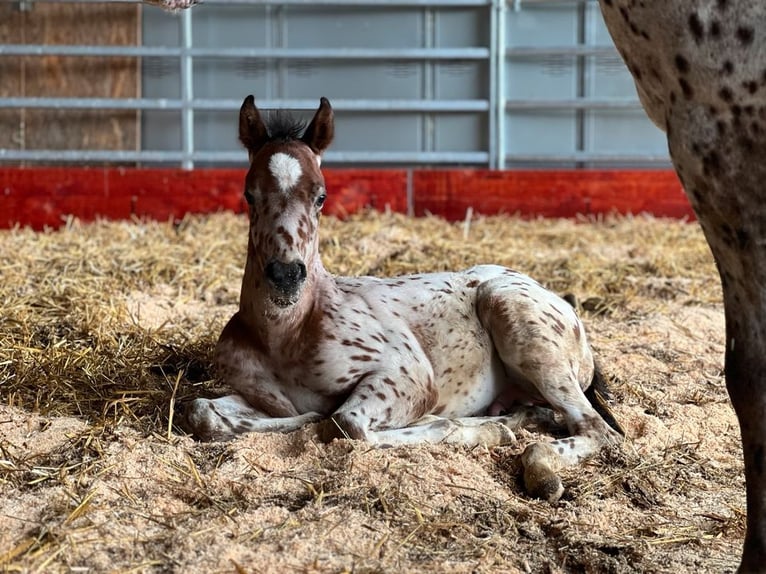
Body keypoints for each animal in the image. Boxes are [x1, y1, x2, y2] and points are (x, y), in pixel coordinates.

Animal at [180, 95, 624, 504]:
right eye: (249, 194)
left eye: (321, 196)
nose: (285, 276)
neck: (287, 336)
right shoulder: (263, 399)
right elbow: (202, 412)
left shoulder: (406, 374)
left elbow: (344, 424)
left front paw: (474, 430)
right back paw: (518, 420)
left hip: (522, 328)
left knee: (596, 428)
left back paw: (537, 467)